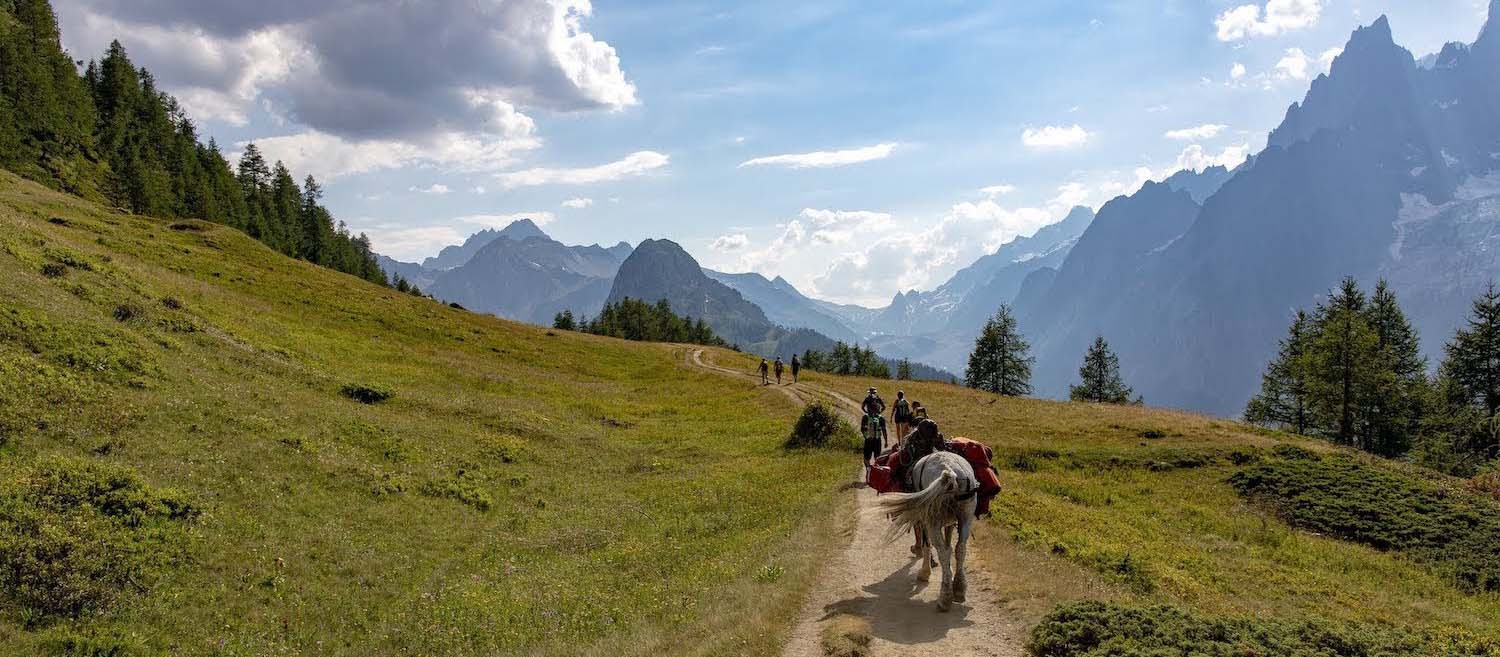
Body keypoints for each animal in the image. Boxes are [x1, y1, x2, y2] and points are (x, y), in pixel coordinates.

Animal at [876, 450, 978, 612]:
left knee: (943, 552)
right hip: (967, 514)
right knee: (960, 548)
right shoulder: (949, 522)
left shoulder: (924, 520)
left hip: (933, 521)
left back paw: (945, 598)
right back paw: (959, 590)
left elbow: (926, 545)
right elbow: (950, 544)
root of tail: (949, 469)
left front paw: (925, 572)